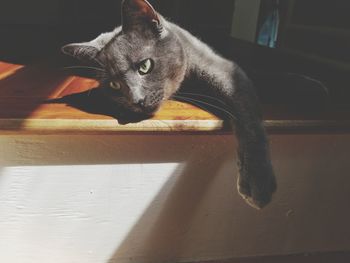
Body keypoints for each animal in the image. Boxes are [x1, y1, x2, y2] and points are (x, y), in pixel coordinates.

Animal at [62, 0, 276, 210]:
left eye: (145, 66)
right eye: (114, 85)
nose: (136, 100)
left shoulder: (225, 71)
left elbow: (247, 119)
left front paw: (258, 182)